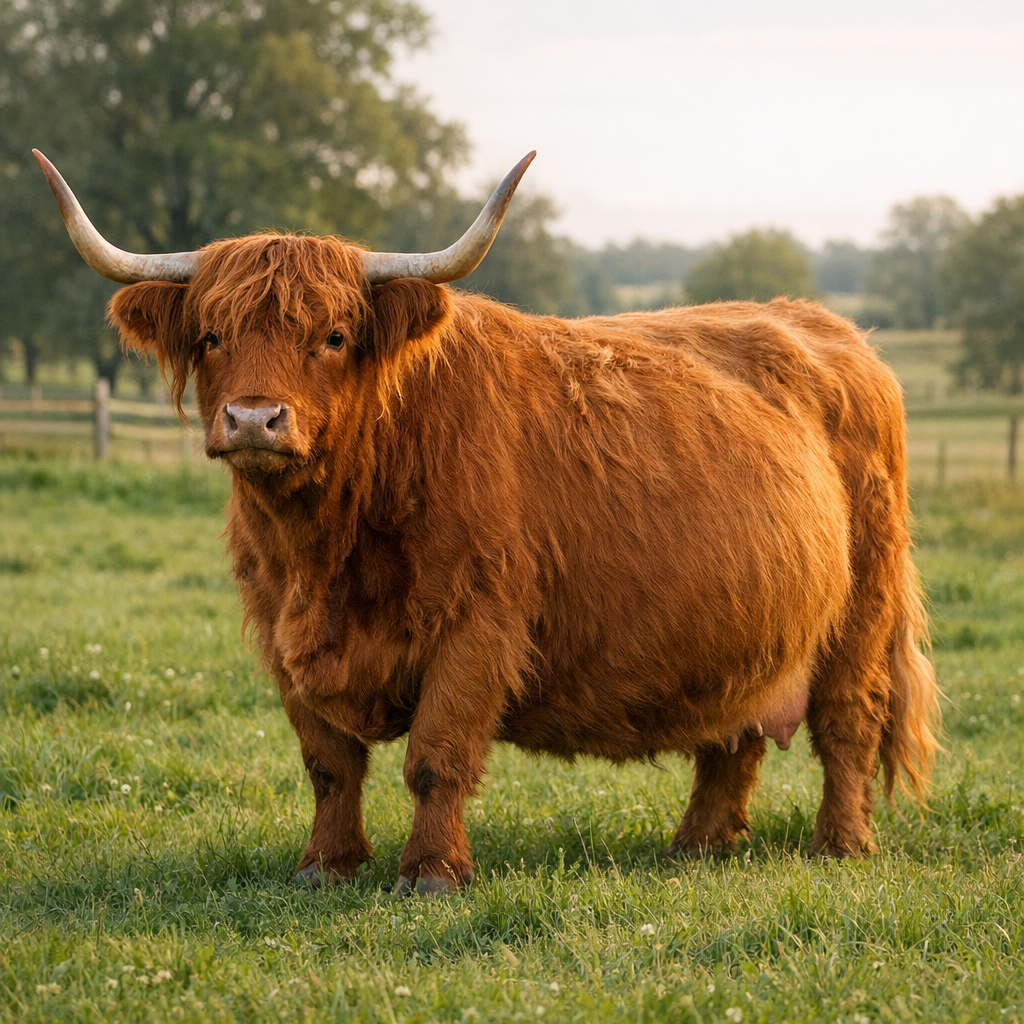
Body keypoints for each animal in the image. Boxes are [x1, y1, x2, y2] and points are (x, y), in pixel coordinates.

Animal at [35, 149, 939, 895]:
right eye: (213, 335)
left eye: (334, 335)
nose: (255, 420)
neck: (324, 550)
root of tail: (833, 329)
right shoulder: (278, 630)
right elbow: (328, 763)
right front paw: (326, 867)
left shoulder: (476, 624)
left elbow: (437, 757)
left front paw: (430, 874)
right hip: (746, 626)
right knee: (733, 735)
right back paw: (699, 845)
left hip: (862, 608)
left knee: (849, 721)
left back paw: (840, 845)